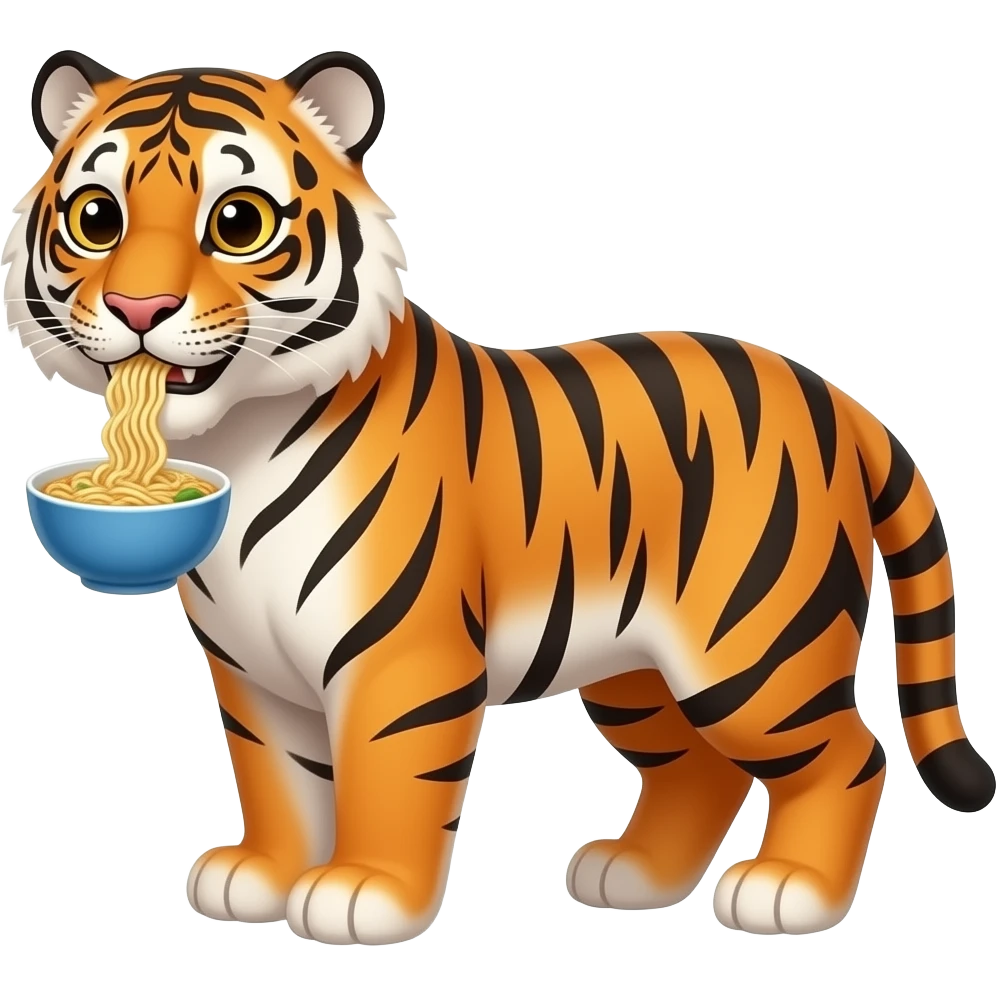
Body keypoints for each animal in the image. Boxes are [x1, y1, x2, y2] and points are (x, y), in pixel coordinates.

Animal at [6, 49, 993, 946]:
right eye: (96, 217)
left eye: (237, 221)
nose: (139, 308)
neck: (238, 443)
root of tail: (833, 396)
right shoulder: (253, 670)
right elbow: (276, 776)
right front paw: (261, 874)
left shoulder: (400, 655)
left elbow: (389, 777)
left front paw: (362, 892)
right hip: (636, 670)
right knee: (698, 770)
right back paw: (631, 874)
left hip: (752, 648)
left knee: (849, 754)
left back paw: (791, 891)